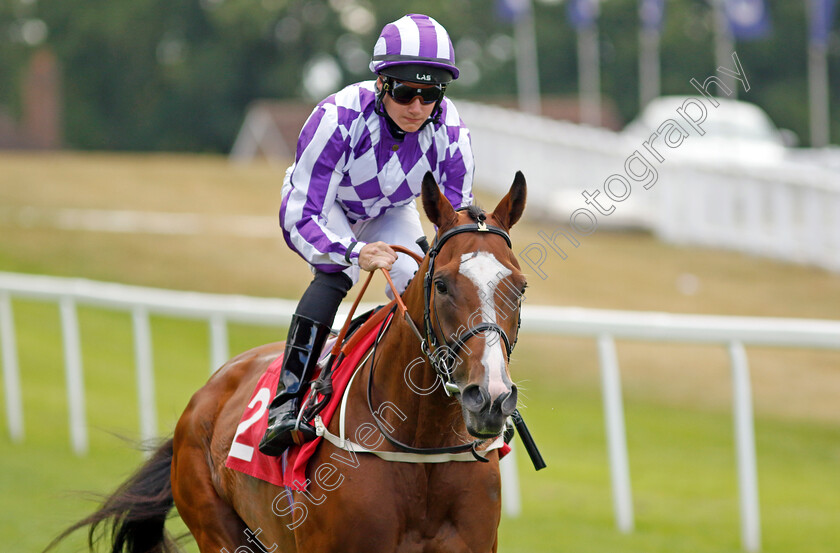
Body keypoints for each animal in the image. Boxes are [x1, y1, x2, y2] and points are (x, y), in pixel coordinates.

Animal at [49, 171, 528, 552]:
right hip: (218, 530)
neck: (421, 446)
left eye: (520, 287)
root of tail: (204, 396)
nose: (489, 397)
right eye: (443, 284)